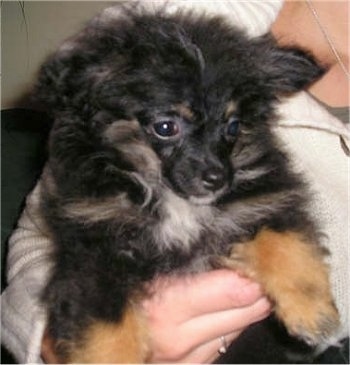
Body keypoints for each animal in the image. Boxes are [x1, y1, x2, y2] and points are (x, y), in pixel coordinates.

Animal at [37, 4, 340, 362]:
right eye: (166, 127)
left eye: (233, 126)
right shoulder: (93, 252)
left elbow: (285, 242)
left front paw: (314, 313)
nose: (218, 179)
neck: (174, 201)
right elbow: (106, 328)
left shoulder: (262, 204)